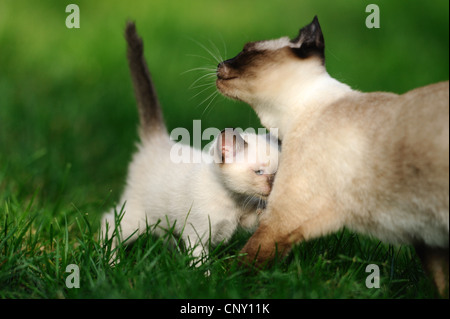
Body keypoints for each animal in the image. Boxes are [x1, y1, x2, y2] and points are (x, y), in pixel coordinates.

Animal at [100, 22, 280, 266]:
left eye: (277, 173)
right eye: (259, 172)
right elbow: (200, 261)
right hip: (138, 217)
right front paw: (204, 275)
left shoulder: (244, 220)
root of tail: (158, 139)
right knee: (110, 224)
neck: (233, 201)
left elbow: (255, 220)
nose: (273, 188)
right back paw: (111, 261)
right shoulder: (197, 234)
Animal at [216, 16, 448, 296]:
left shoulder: (280, 221)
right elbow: (442, 284)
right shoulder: (428, 238)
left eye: (246, 51)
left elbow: (242, 265)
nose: (219, 65)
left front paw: (216, 283)